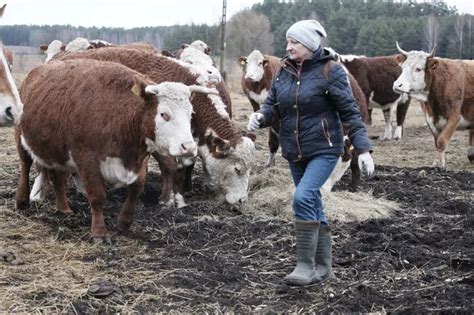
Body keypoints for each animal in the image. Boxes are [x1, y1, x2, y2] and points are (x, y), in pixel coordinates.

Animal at [16, 58, 206, 242]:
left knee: (58, 178)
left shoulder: (139, 158)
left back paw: (63, 209)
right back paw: (22, 201)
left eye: (191, 114)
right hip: (20, 137)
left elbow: (136, 188)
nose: (189, 147)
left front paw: (124, 222)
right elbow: (97, 196)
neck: (120, 114)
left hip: (56, 150)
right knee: (25, 166)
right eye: (164, 114)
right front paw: (99, 232)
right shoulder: (86, 158)